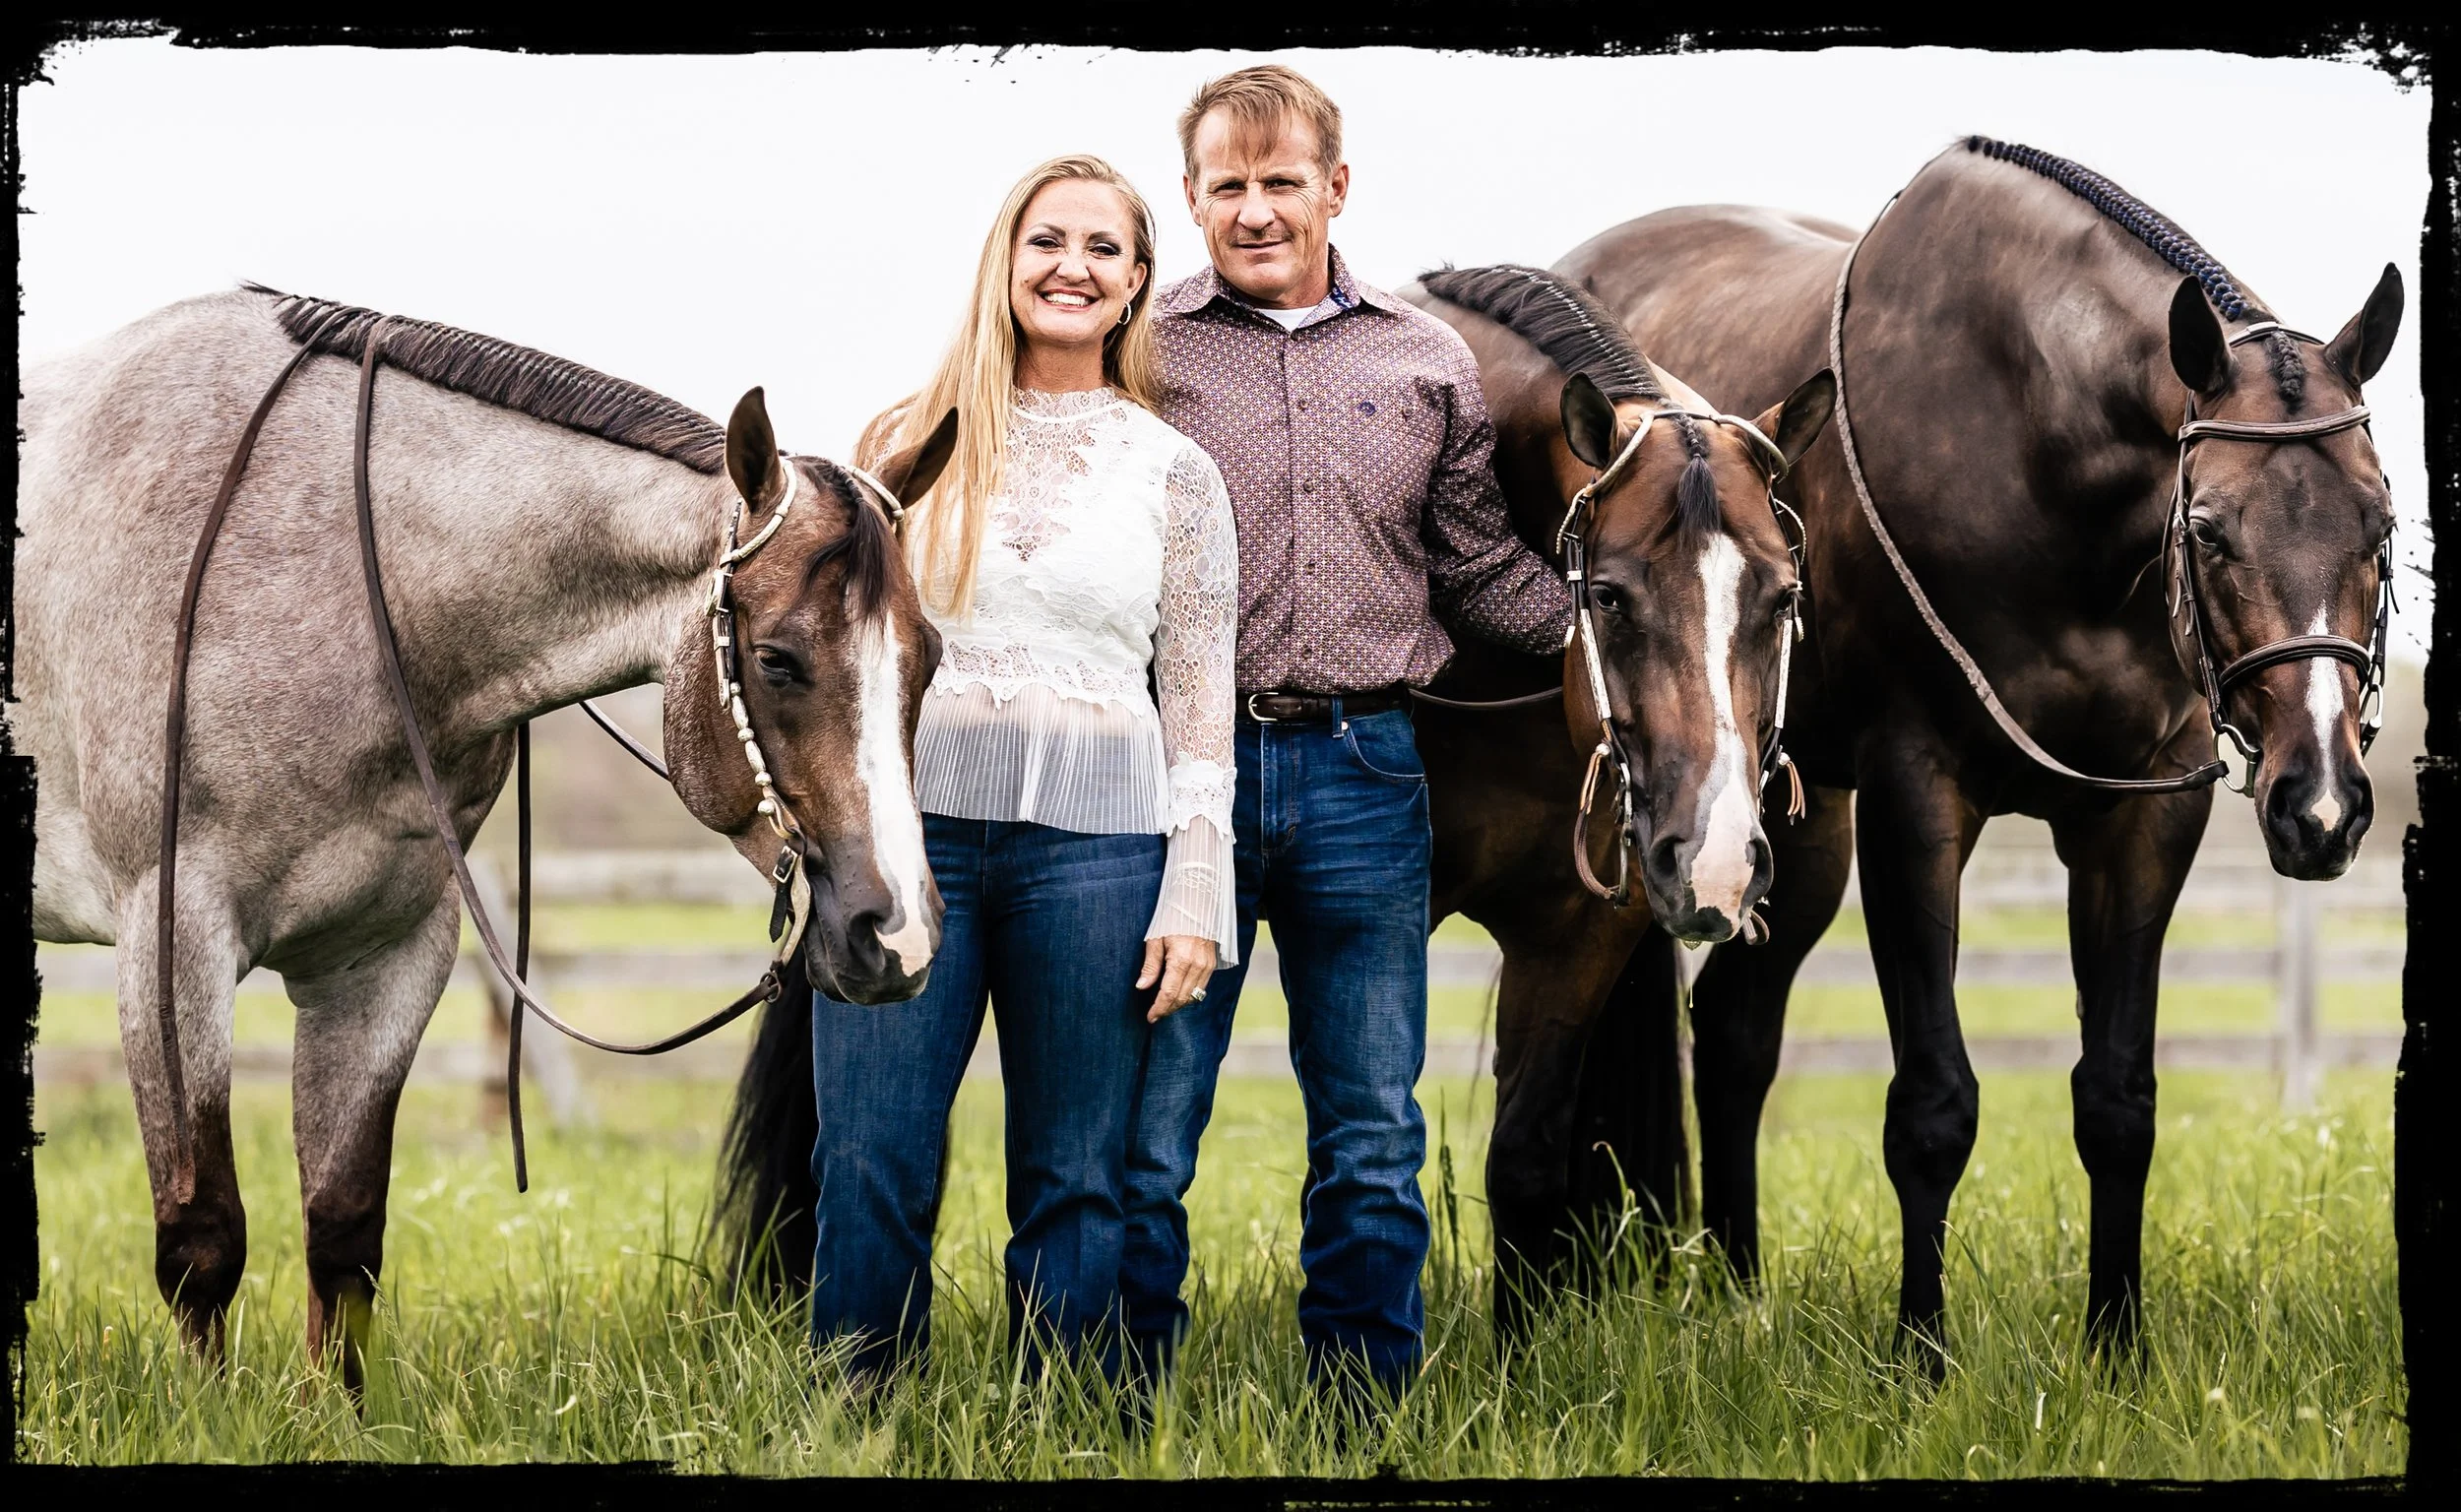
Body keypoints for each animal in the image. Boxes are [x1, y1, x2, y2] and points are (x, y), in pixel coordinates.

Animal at [15, 286, 956, 1387]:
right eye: (776, 659)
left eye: (929, 658)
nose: (896, 937)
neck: (337, 571)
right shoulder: (172, 945)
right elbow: (202, 1237)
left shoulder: (388, 957)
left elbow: (343, 1231)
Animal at [1400, 265, 1835, 1339]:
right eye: (1605, 596)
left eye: (1781, 598)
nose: (1717, 861)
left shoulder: (1578, 936)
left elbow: (1523, 1161)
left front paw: (1514, 1358)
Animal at [1553, 137, 2403, 1363]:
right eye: (2207, 530)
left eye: (2376, 525)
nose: (2320, 804)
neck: (2029, 444)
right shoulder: (1919, 801)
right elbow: (1932, 1106)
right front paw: (1920, 1356)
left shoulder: (2145, 814)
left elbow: (2117, 1099)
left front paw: (2116, 1349)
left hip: (1791, 826)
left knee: (1735, 1034)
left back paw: (1738, 1298)